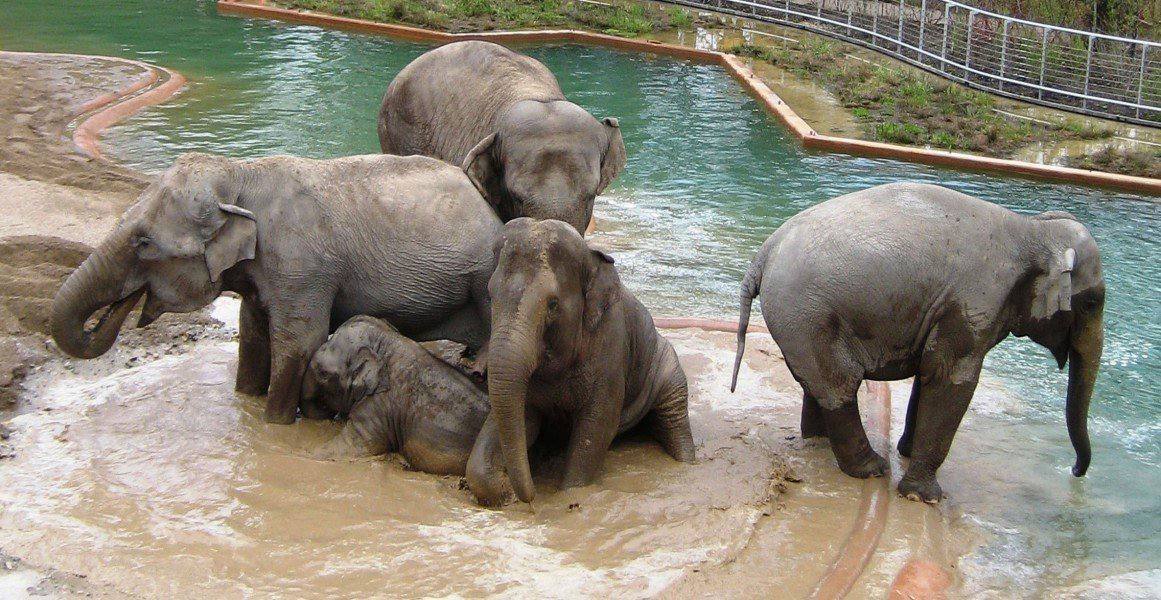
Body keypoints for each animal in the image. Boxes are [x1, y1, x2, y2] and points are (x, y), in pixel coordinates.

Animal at [51, 152, 501, 424]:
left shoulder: (301, 267)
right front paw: (245, 402)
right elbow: (252, 336)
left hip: (483, 274)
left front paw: (275, 427)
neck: (240, 174)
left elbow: (300, 342)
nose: (120, 307)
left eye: (143, 243)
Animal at [469, 218, 696, 505]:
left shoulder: (611, 341)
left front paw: (570, 493)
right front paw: (502, 492)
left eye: (553, 304)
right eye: (490, 295)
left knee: (674, 417)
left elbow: (598, 424)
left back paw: (687, 463)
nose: (531, 499)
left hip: (667, 364)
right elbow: (523, 418)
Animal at [731, 182, 1103, 503]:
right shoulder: (974, 302)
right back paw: (873, 469)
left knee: (817, 383)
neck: (1033, 229)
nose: (1074, 470)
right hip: (807, 313)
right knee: (838, 385)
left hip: (801, 320)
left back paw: (821, 444)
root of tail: (764, 253)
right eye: (1091, 303)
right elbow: (952, 380)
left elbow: (931, 374)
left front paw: (907, 454)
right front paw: (924, 497)